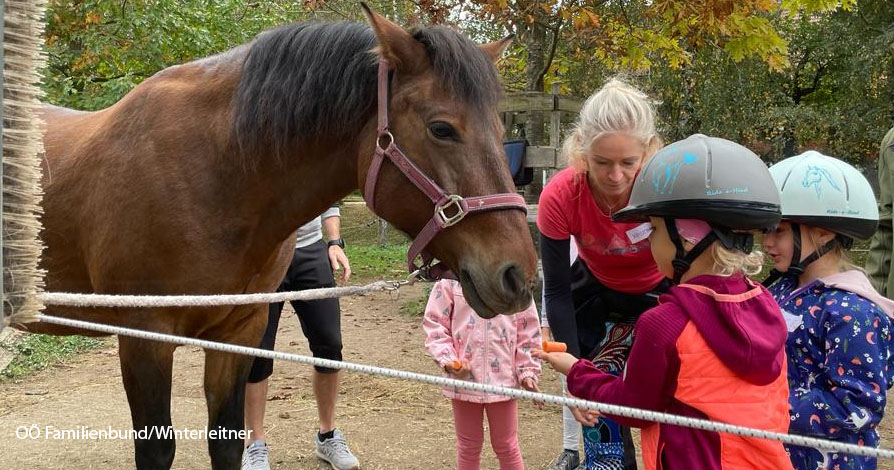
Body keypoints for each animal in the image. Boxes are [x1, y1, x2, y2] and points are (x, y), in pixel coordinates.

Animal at [22, 7, 540, 470]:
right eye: (441, 128)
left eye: (502, 129)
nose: (518, 274)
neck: (213, 173)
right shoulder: (143, 339)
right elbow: (156, 452)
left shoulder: (238, 334)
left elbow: (226, 443)